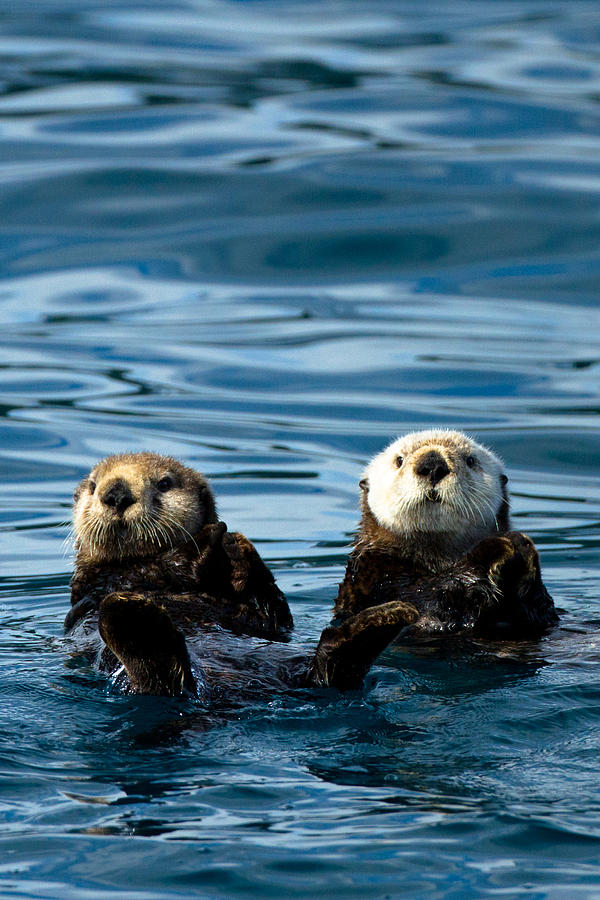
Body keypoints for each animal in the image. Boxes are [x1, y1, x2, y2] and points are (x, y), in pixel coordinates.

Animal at [65, 452, 419, 695]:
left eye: (164, 483)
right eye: (94, 486)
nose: (115, 494)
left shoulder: (272, 612)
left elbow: (273, 606)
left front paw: (232, 546)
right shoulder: (97, 583)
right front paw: (206, 544)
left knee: (329, 669)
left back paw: (383, 620)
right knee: (160, 674)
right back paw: (134, 617)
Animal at [325, 429, 557, 639]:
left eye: (470, 460)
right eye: (399, 460)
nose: (432, 465)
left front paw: (522, 548)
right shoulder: (373, 579)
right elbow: (426, 604)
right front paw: (496, 549)